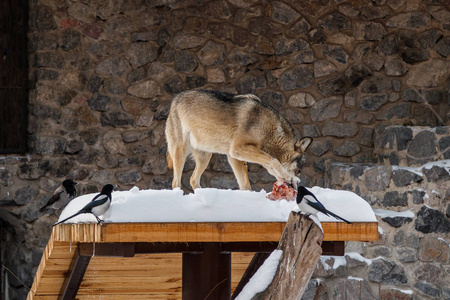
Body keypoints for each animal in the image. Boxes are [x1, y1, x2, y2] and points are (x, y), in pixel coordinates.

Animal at [165, 88, 312, 190]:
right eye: (298, 171)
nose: (296, 188)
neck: (270, 130)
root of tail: (174, 100)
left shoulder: (234, 157)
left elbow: (245, 185)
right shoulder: (237, 149)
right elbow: (274, 161)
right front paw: (289, 176)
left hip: (205, 157)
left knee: (193, 180)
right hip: (181, 152)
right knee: (175, 182)